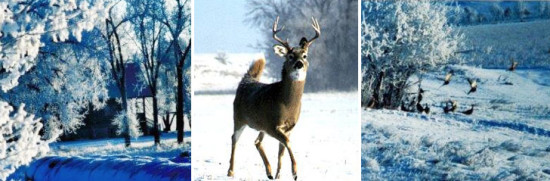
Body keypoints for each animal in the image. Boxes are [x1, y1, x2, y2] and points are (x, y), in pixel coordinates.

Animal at [229, 16, 322, 180]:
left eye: (305, 55)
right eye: (290, 56)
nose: (299, 64)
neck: (286, 104)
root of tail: (246, 80)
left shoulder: (288, 127)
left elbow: (282, 150)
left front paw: (279, 175)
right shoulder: (272, 125)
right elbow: (287, 143)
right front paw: (295, 172)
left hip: (260, 125)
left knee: (257, 142)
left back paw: (270, 172)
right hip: (239, 118)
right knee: (234, 138)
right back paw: (231, 172)